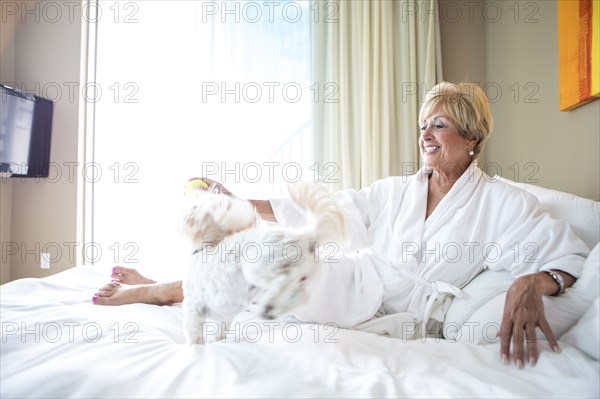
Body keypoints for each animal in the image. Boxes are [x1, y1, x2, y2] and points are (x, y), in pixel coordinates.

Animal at [180, 181, 344, 344]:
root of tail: (303, 236)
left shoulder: (193, 307)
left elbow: (193, 333)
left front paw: (196, 345)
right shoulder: (224, 316)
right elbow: (220, 329)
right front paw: (217, 339)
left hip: (256, 267)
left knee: (286, 277)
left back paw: (269, 305)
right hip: (303, 279)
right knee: (302, 297)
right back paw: (271, 309)